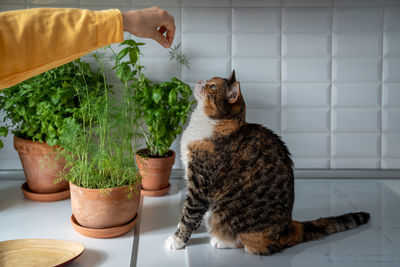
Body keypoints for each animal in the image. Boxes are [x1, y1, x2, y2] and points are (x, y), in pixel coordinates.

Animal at [164, 70, 370, 256]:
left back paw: (221, 240)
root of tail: (288, 228)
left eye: (213, 86)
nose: (200, 80)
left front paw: (177, 239)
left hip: (231, 216)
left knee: (251, 244)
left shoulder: (200, 183)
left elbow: (190, 214)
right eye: (209, 80)